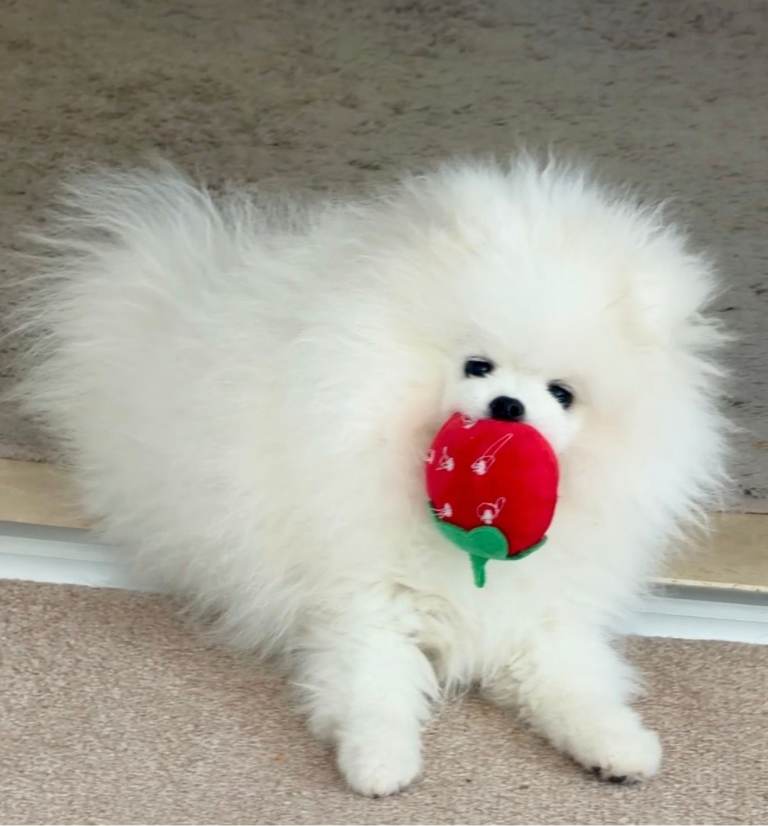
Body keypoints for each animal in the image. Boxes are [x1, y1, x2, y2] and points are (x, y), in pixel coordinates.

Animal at [16, 157, 728, 796]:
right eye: (477, 365)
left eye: (562, 394)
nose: (508, 407)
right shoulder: (365, 600)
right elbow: (374, 689)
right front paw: (380, 762)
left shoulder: (537, 617)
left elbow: (576, 684)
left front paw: (619, 745)